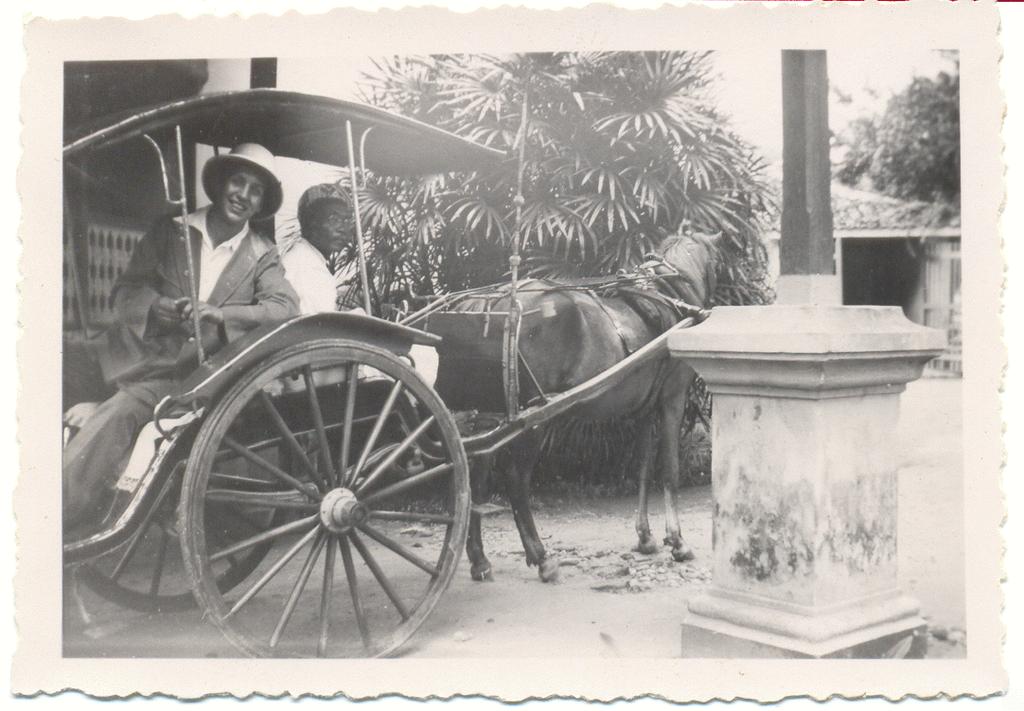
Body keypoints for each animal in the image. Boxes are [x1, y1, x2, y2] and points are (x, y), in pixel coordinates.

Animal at [428, 231, 724, 581]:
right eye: (717, 262)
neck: (667, 293)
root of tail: (493, 303)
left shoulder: (643, 411)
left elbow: (641, 468)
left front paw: (645, 537)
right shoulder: (672, 401)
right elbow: (669, 471)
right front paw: (677, 542)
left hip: (488, 415)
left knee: (477, 474)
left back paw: (479, 559)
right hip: (533, 419)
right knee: (515, 479)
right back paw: (541, 557)